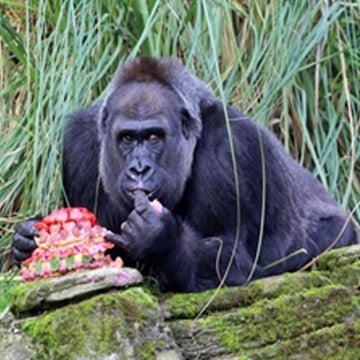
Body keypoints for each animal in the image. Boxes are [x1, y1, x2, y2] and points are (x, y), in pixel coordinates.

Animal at [11, 57, 358, 292]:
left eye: (154, 137)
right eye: (127, 138)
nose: (139, 169)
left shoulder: (234, 146)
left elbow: (234, 259)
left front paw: (161, 239)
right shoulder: (79, 144)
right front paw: (25, 241)